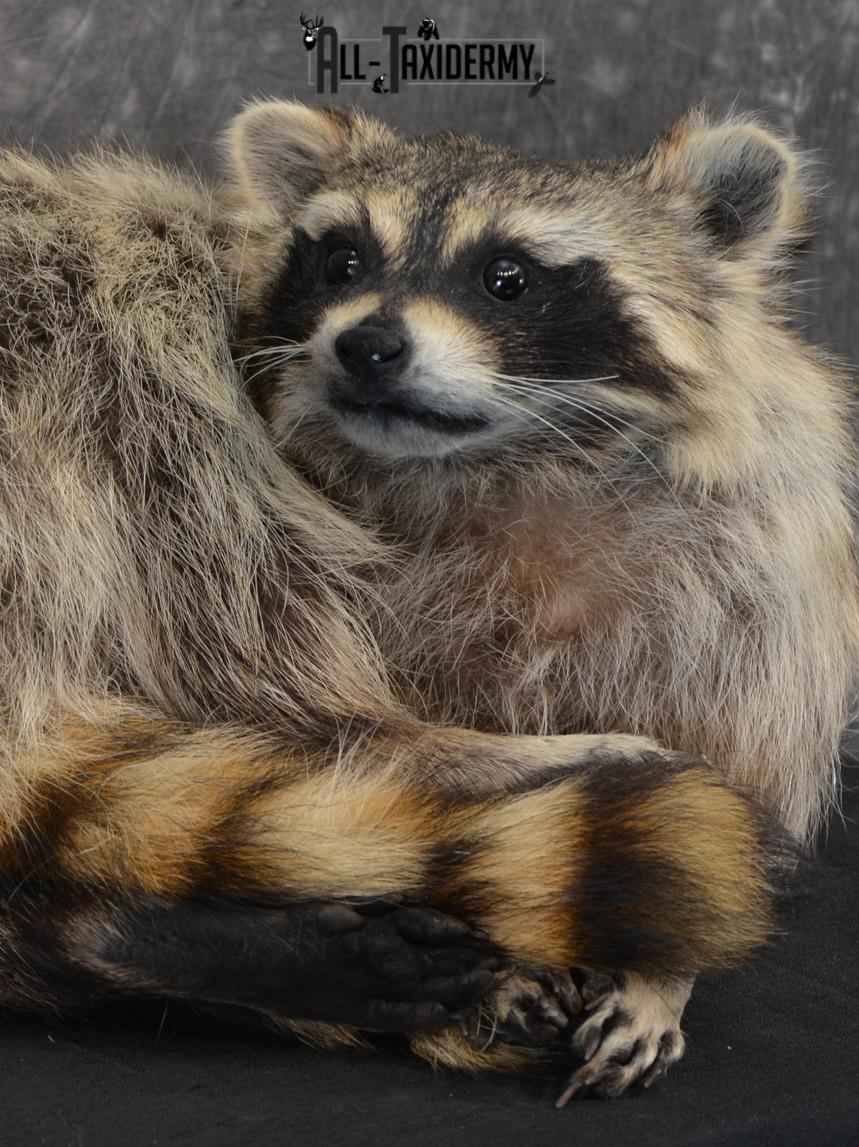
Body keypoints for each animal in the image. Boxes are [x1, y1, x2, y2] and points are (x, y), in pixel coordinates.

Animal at [0, 115, 789, 1102]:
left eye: (506, 278)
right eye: (342, 262)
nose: (368, 344)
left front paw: (659, 969)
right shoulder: (156, 399)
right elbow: (275, 682)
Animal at [227, 100, 859, 1095]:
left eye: (506, 279)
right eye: (344, 263)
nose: (366, 344)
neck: (508, 458)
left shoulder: (754, 576)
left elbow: (727, 785)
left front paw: (659, 968)